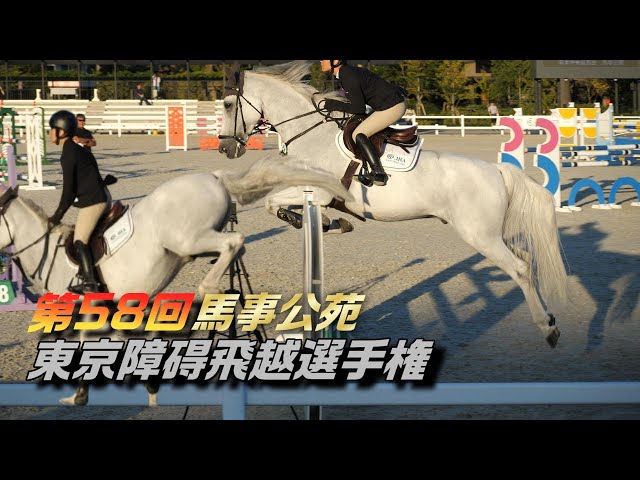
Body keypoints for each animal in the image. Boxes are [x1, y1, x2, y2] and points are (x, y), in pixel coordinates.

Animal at [0, 157, 351, 405]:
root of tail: (213, 177)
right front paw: (147, 384)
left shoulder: (86, 316)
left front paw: (79, 396)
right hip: (192, 243)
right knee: (236, 246)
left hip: (187, 239)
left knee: (233, 241)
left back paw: (210, 293)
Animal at [217, 61, 569, 348]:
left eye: (228, 104)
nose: (225, 149)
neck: (309, 135)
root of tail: (496, 170)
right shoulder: (315, 196)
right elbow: (280, 205)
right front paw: (335, 223)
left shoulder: (318, 193)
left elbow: (272, 202)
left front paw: (318, 222)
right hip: (495, 233)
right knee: (527, 259)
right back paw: (551, 317)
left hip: (480, 235)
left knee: (519, 268)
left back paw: (548, 328)